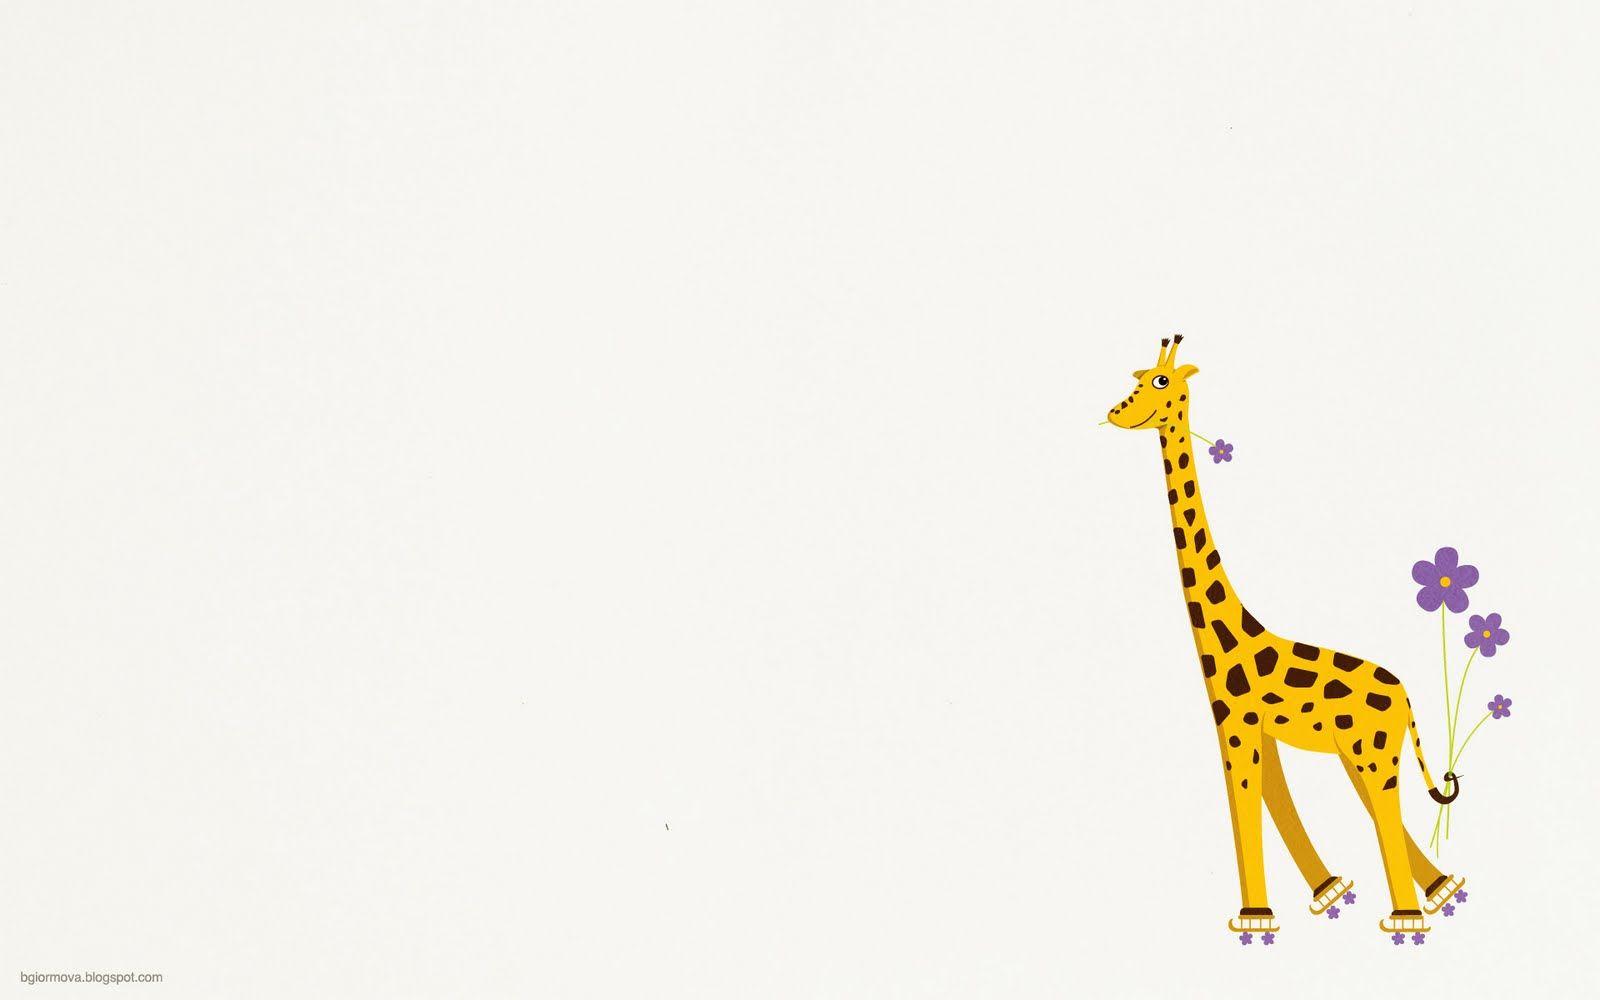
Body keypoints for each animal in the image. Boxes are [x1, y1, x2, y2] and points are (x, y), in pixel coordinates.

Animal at [1106, 336, 1466, 943]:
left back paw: (1407, 916)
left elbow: (1244, 804)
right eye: (1135, 381)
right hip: (1363, 752)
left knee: (1385, 809)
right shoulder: (1257, 731)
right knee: (1382, 808)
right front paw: (1326, 892)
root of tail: (1406, 696)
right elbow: (1272, 798)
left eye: (1158, 384)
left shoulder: (1235, 727)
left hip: (1370, 750)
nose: (1113, 413)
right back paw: (1440, 892)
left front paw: (1255, 917)